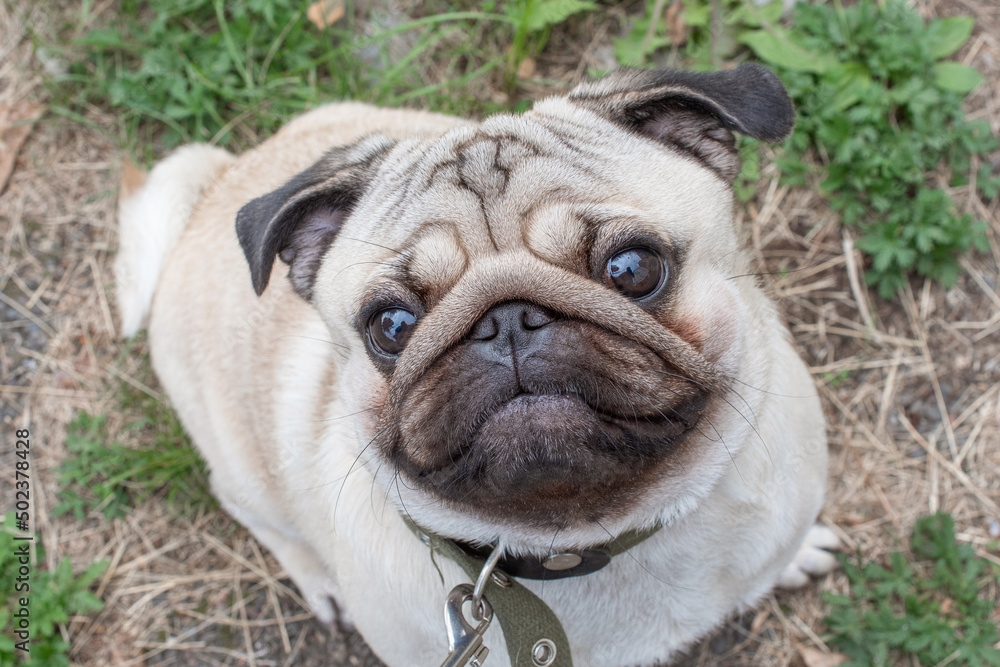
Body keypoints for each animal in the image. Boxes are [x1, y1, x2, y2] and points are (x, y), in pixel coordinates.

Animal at [113, 64, 840, 667]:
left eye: (632, 268)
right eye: (391, 326)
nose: (506, 319)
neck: (587, 539)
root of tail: (217, 184)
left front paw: (796, 556)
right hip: (242, 466)